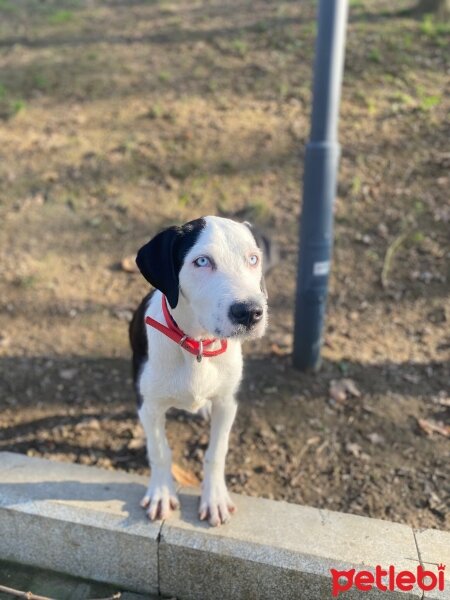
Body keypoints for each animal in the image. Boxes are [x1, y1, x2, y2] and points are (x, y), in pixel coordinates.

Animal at [130, 216, 270, 524]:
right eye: (202, 261)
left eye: (253, 259)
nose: (250, 313)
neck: (198, 345)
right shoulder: (150, 406)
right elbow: (159, 450)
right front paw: (161, 494)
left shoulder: (227, 403)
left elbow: (217, 452)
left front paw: (214, 498)